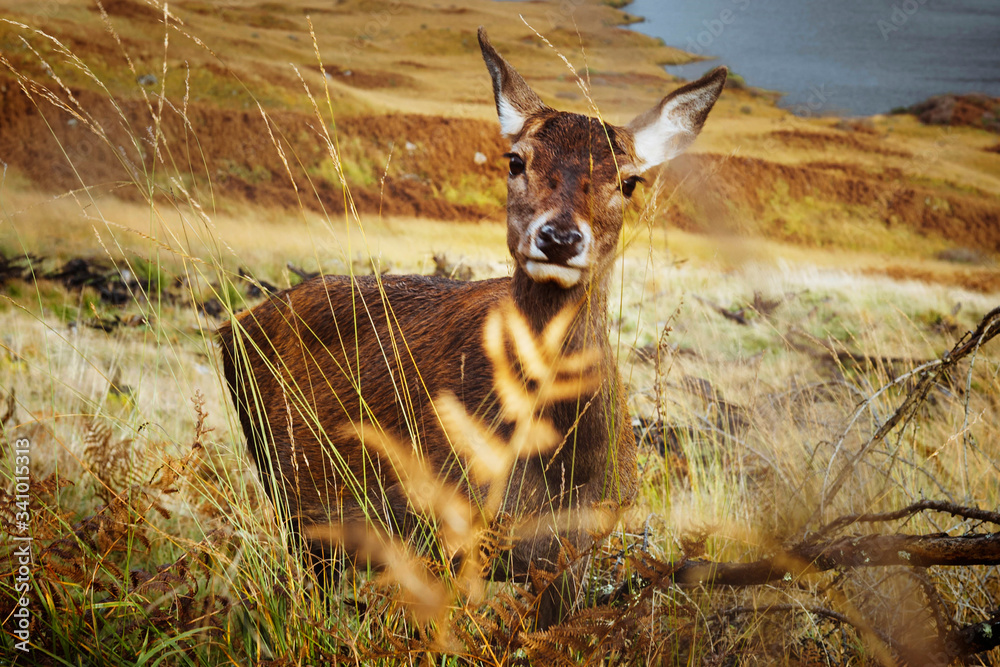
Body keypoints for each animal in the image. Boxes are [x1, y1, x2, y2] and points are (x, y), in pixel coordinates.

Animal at [217, 28, 728, 628]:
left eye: (629, 181)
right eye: (515, 160)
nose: (559, 237)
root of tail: (232, 326)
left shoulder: (577, 551)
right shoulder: (436, 530)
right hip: (293, 497)